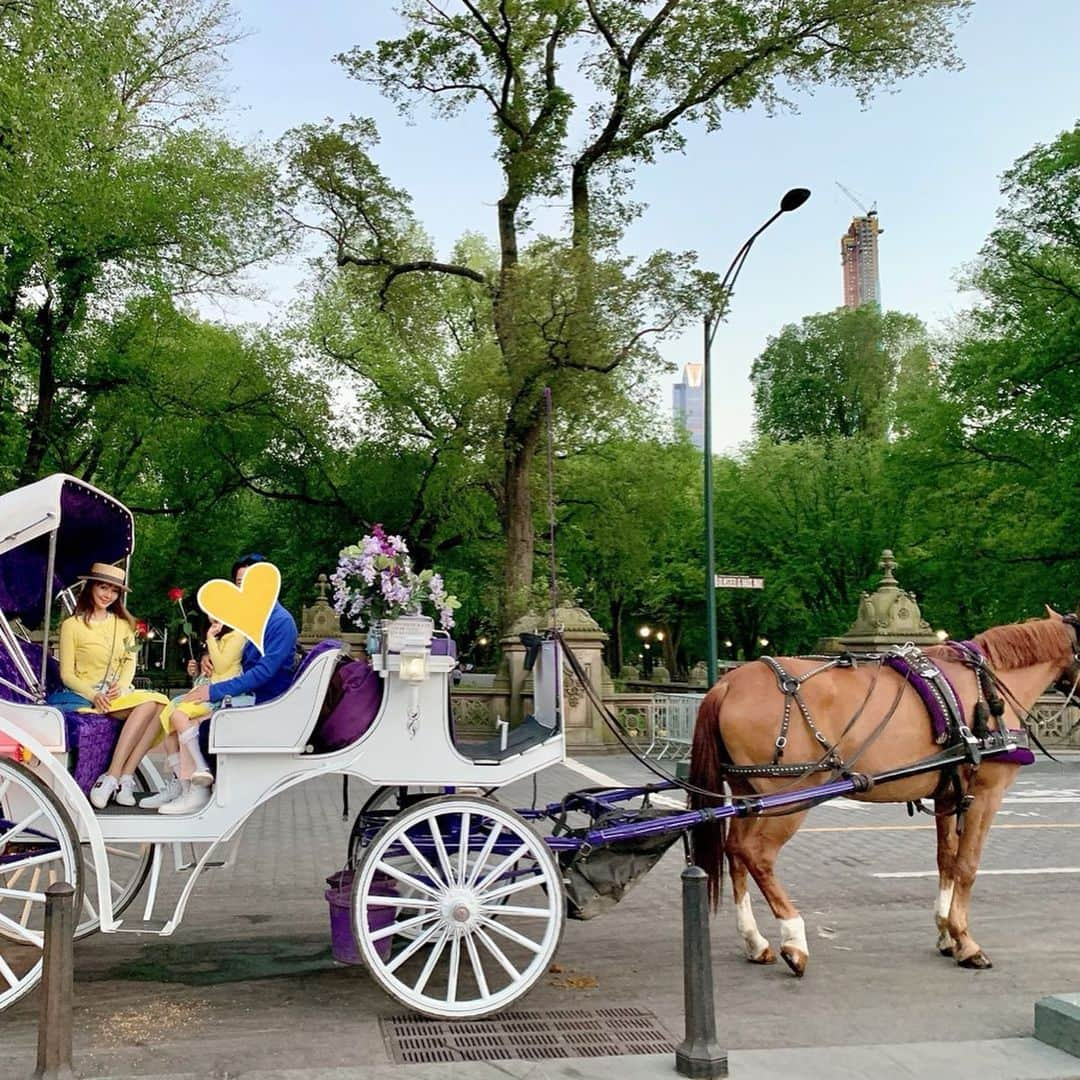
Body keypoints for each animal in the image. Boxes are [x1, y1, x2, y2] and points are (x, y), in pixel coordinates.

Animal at [691, 617, 1080, 980]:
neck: (986, 684)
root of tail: (727, 683)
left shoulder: (947, 795)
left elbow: (947, 861)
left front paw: (946, 933)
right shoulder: (985, 795)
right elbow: (967, 866)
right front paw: (966, 942)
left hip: (749, 794)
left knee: (735, 851)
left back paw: (754, 941)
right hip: (787, 799)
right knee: (757, 854)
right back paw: (794, 939)